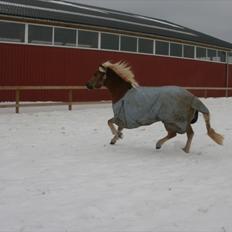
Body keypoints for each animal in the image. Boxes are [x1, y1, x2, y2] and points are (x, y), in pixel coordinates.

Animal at [86, 60, 224, 153]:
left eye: (95, 74)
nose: (87, 85)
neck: (122, 93)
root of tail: (192, 98)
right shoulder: (124, 118)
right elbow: (118, 127)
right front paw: (114, 139)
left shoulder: (121, 117)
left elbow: (109, 122)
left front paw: (118, 136)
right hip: (180, 121)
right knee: (185, 133)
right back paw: (179, 148)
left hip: (172, 121)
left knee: (179, 134)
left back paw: (165, 146)